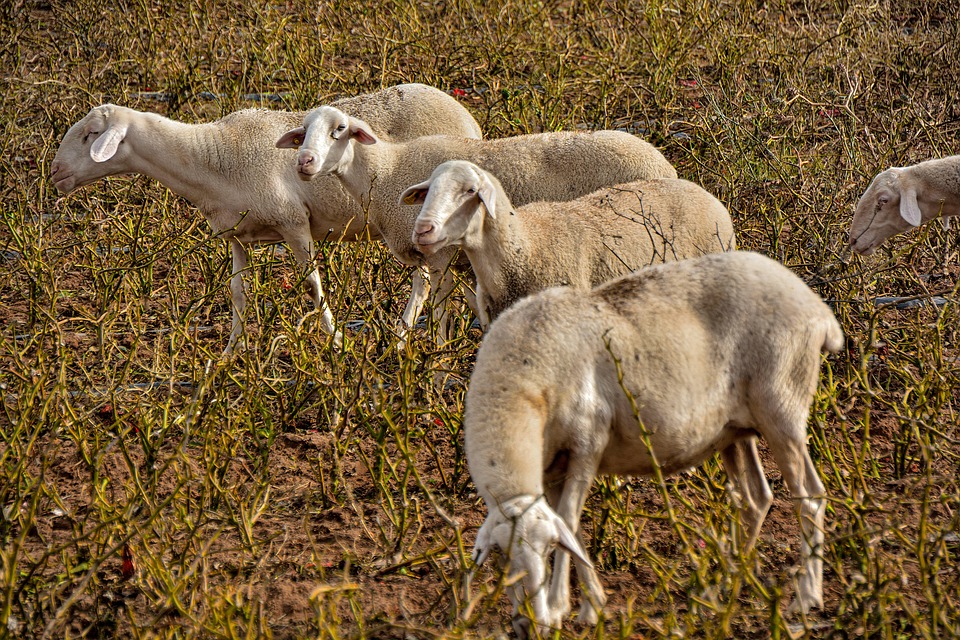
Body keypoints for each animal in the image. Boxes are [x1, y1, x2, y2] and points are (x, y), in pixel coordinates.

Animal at [50, 83, 483, 352]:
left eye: (90, 134)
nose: (54, 172)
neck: (213, 155)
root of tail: (468, 118)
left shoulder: (294, 223)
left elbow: (312, 287)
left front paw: (337, 343)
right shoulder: (235, 235)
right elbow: (238, 293)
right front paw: (229, 353)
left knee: (426, 282)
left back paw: (402, 338)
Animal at [275, 105, 677, 343]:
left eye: (339, 129)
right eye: (303, 132)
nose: (304, 162)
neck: (386, 171)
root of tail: (665, 165)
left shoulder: (437, 256)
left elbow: (434, 305)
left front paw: (429, 355)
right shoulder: (453, 257)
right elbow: (459, 299)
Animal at [463, 250, 842, 637]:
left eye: (546, 550)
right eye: (501, 557)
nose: (531, 623)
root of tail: (817, 308)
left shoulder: (586, 444)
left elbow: (567, 521)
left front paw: (561, 606)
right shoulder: (553, 465)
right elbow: (572, 526)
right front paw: (590, 603)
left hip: (783, 408)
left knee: (809, 497)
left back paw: (806, 597)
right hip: (736, 430)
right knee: (756, 498)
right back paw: (728, 582)